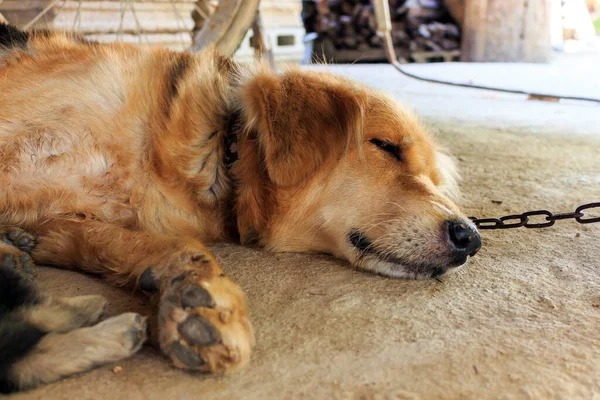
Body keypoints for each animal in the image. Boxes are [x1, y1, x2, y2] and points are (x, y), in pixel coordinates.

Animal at [0, 23, 478, 392]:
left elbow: (157, 244)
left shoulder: (63, 224)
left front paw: (197, 290)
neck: (220, 149)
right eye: (386, 146)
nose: (470, 238)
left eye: (434, 179)